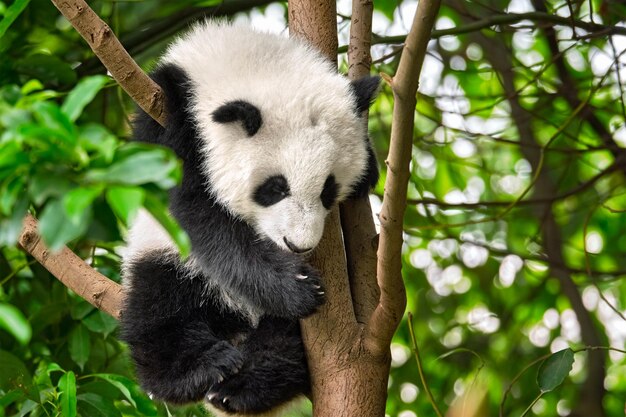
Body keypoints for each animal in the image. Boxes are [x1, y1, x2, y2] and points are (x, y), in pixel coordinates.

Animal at [119, 20, 378, 416]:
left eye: (328, 189)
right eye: (275, 188)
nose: (298, 245)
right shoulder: (168, 114)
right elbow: (201, 218)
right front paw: (294, 286)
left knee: (283, 341)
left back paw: (245, 385)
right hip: (164, 260)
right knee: (159, 310)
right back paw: (203, 368)